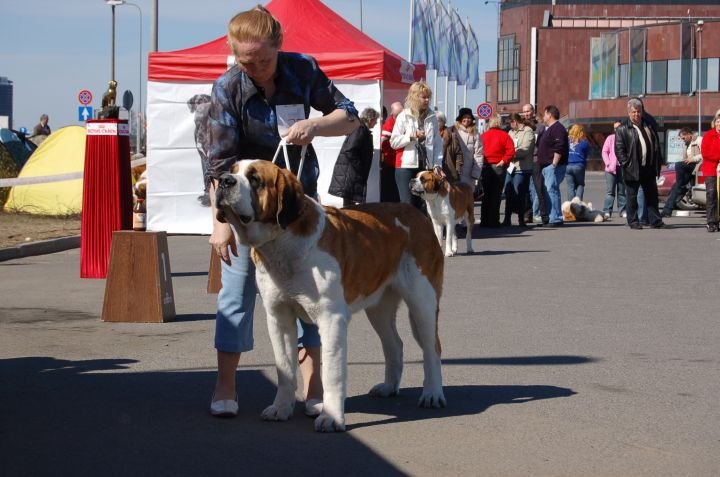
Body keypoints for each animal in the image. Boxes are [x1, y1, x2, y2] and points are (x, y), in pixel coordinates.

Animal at [214, 159, 448, 432]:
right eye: (233, 170)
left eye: (254, 179)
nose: (223, 180)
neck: (281, 242)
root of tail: (418, 215)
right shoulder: (278, 318)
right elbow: (285, 367)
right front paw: (281, 408)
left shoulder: (331, 319)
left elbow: (331, 372)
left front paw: (331, 418)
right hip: (378, 307)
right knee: (394, 344)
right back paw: (389, 387)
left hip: (423, 300)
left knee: (432, 347)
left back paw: (432, 394)